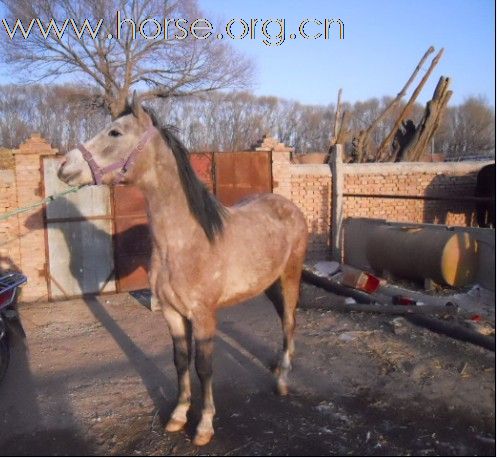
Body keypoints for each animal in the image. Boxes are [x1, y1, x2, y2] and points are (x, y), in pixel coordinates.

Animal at [56, 95, 308, 446]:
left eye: (115, 132)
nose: (64, 166)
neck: (186, 241)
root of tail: (289, 206)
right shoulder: (173, 314)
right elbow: (180, 362)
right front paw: (178, 415)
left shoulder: (203, 316)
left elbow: (204, 367)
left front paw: (204, 425)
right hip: (269, 284)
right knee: (284, 316)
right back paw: (278, 365)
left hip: (290, 276)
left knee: (289, 320)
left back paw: (282, 378)